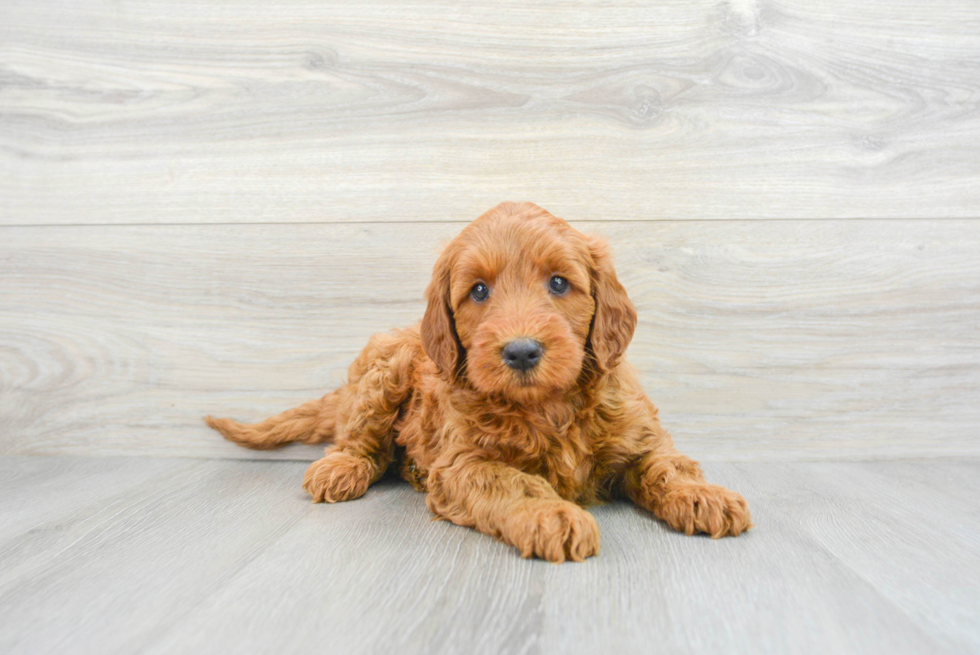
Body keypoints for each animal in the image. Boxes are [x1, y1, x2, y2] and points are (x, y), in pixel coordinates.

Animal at [209, 201, 752, 564]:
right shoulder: (464, 463)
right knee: (360, 440)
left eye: (559, 283)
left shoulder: (637, 431)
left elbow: (667, 464)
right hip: (386, 368)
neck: (547, 405)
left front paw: (705, 495)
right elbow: (515, 482)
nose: (521, 350)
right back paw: (342, 467)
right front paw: (552, 515)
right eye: (478, 291)